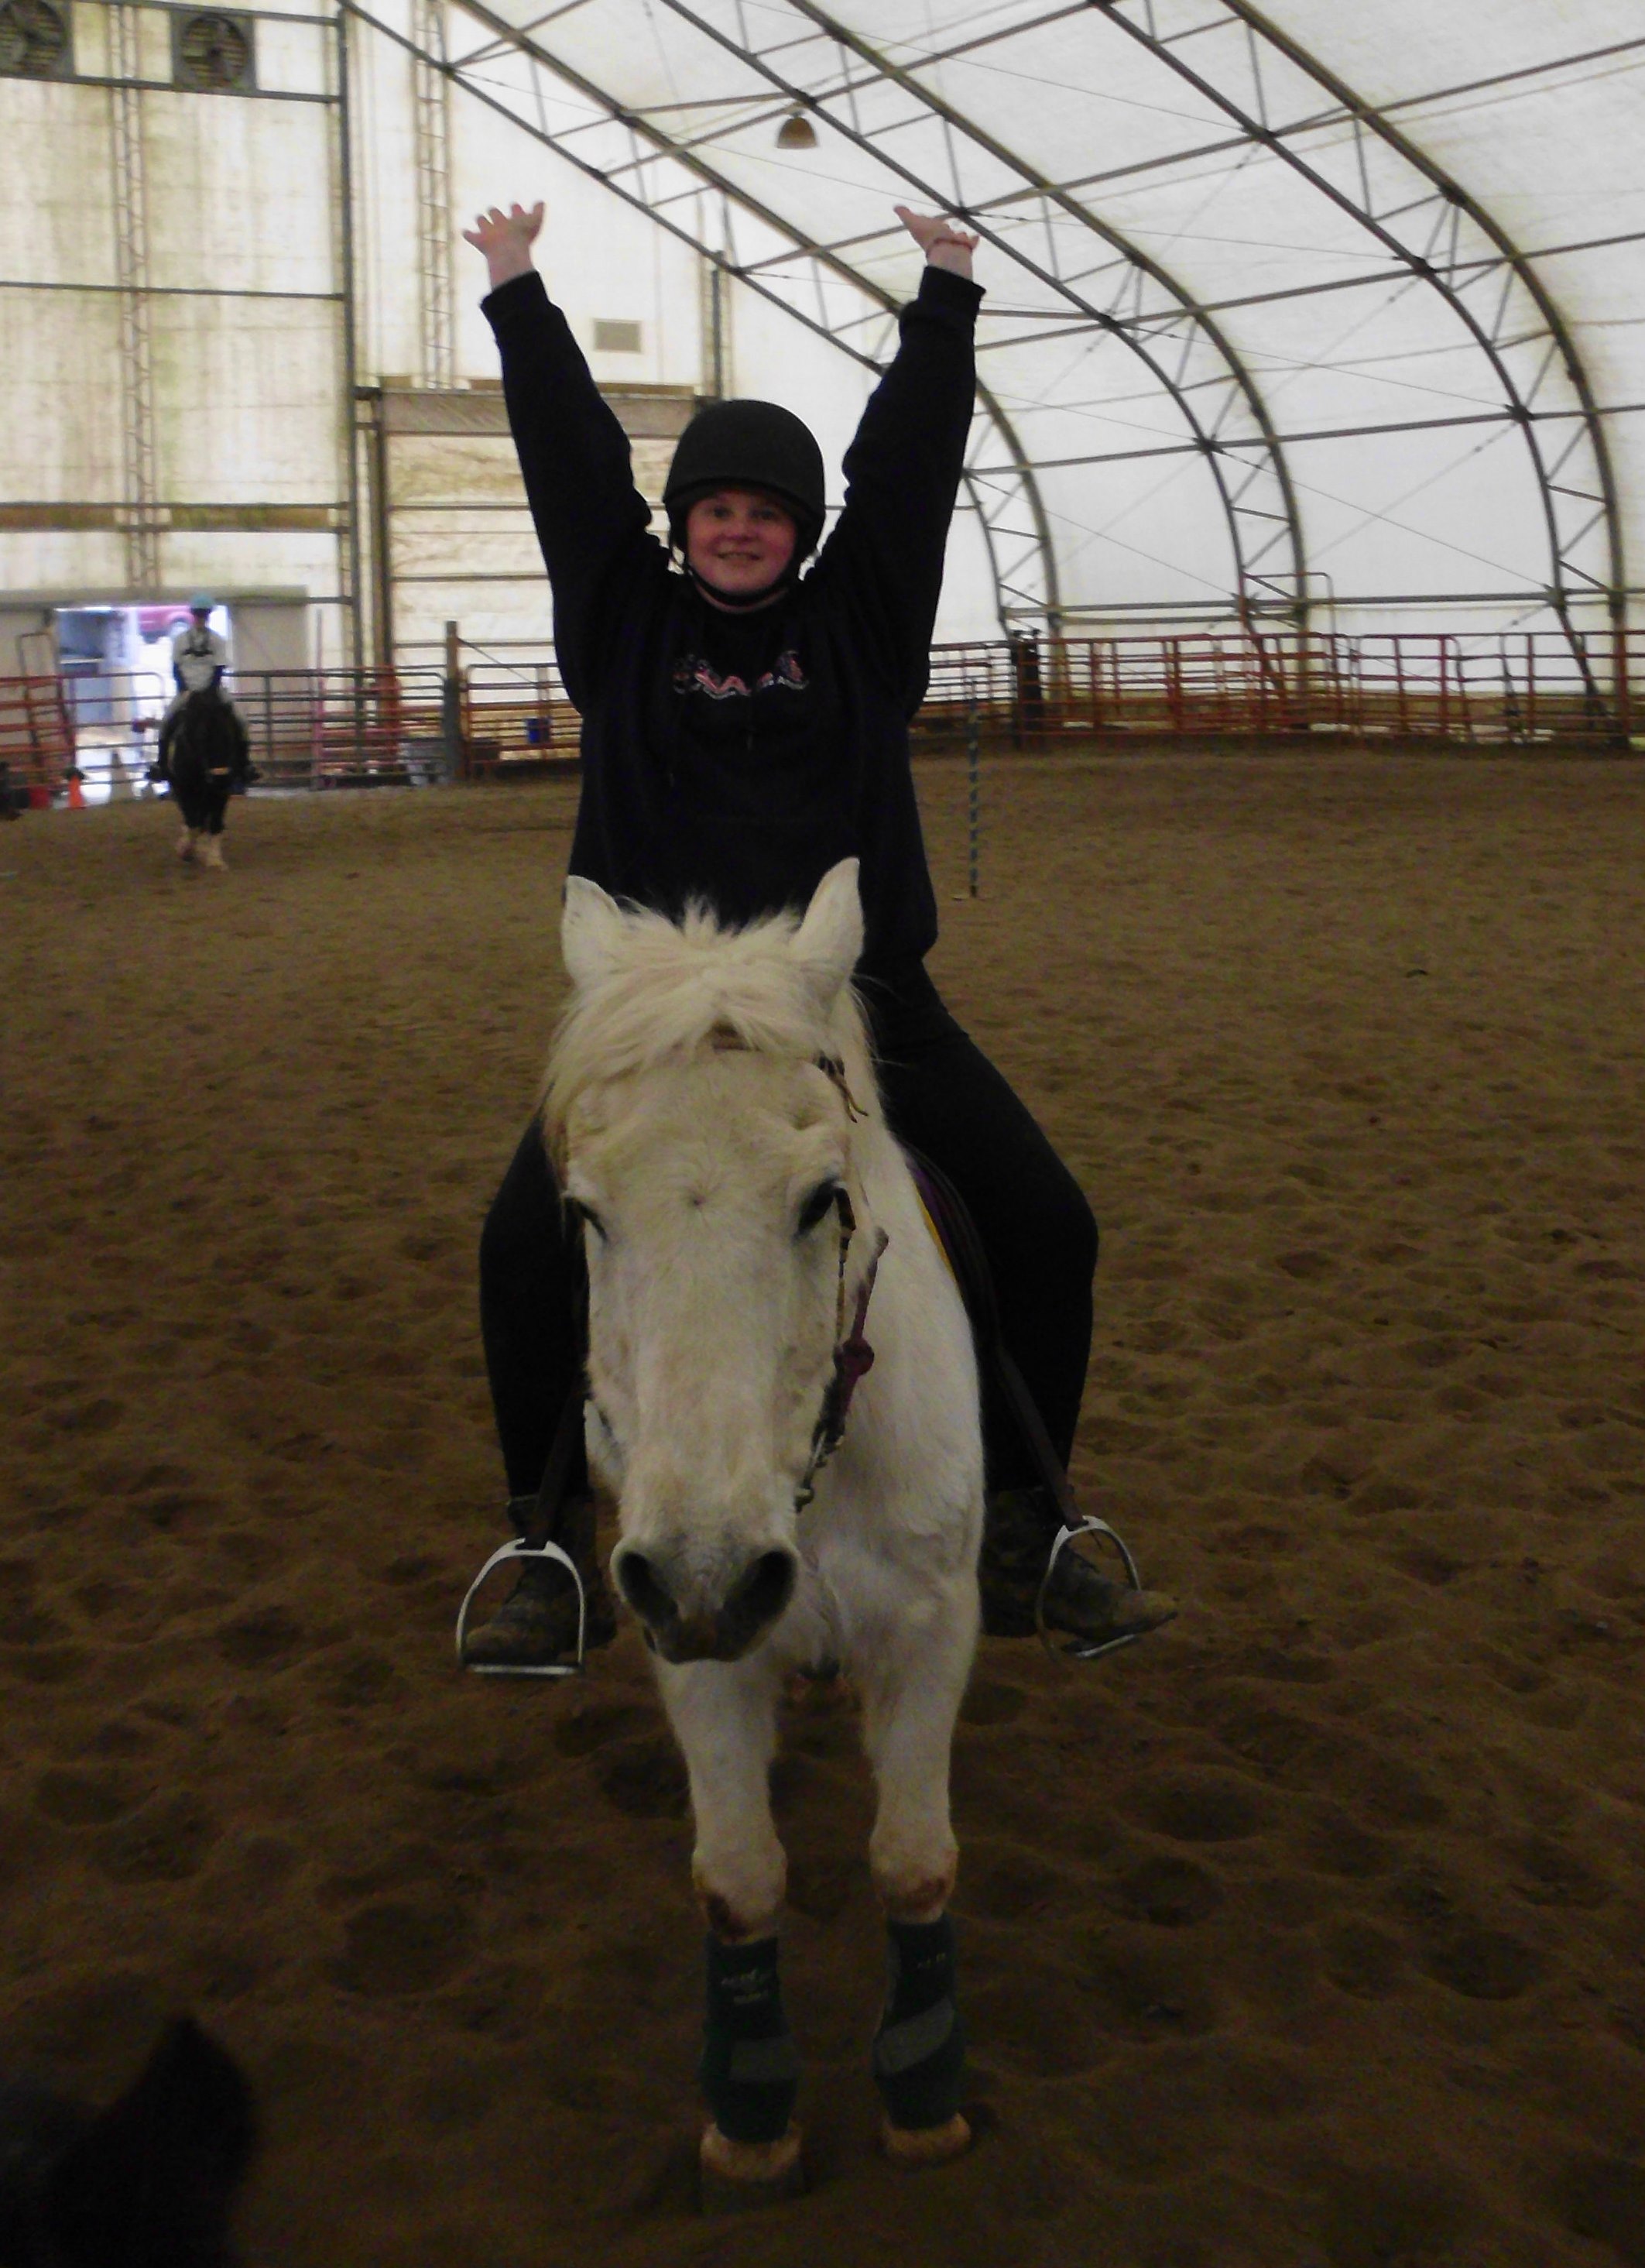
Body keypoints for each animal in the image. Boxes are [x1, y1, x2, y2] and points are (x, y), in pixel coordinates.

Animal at [166, 688, 249, 871]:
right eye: (201, 737)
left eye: (230, 736)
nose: (219, 779)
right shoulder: (184, 790)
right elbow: (192, 823)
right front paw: (186, 850)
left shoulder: (221, 793)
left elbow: (214, 823)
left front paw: (215, 860)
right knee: (193, 820)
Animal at [547, 857, 983, 2199]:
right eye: (587, 1213)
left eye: (821, 1200)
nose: (713, 1575)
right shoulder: (686, 1645)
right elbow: (737, 1879)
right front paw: (748, 2112)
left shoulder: (934, 1624)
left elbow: (914, 1856)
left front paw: (923, 2089)